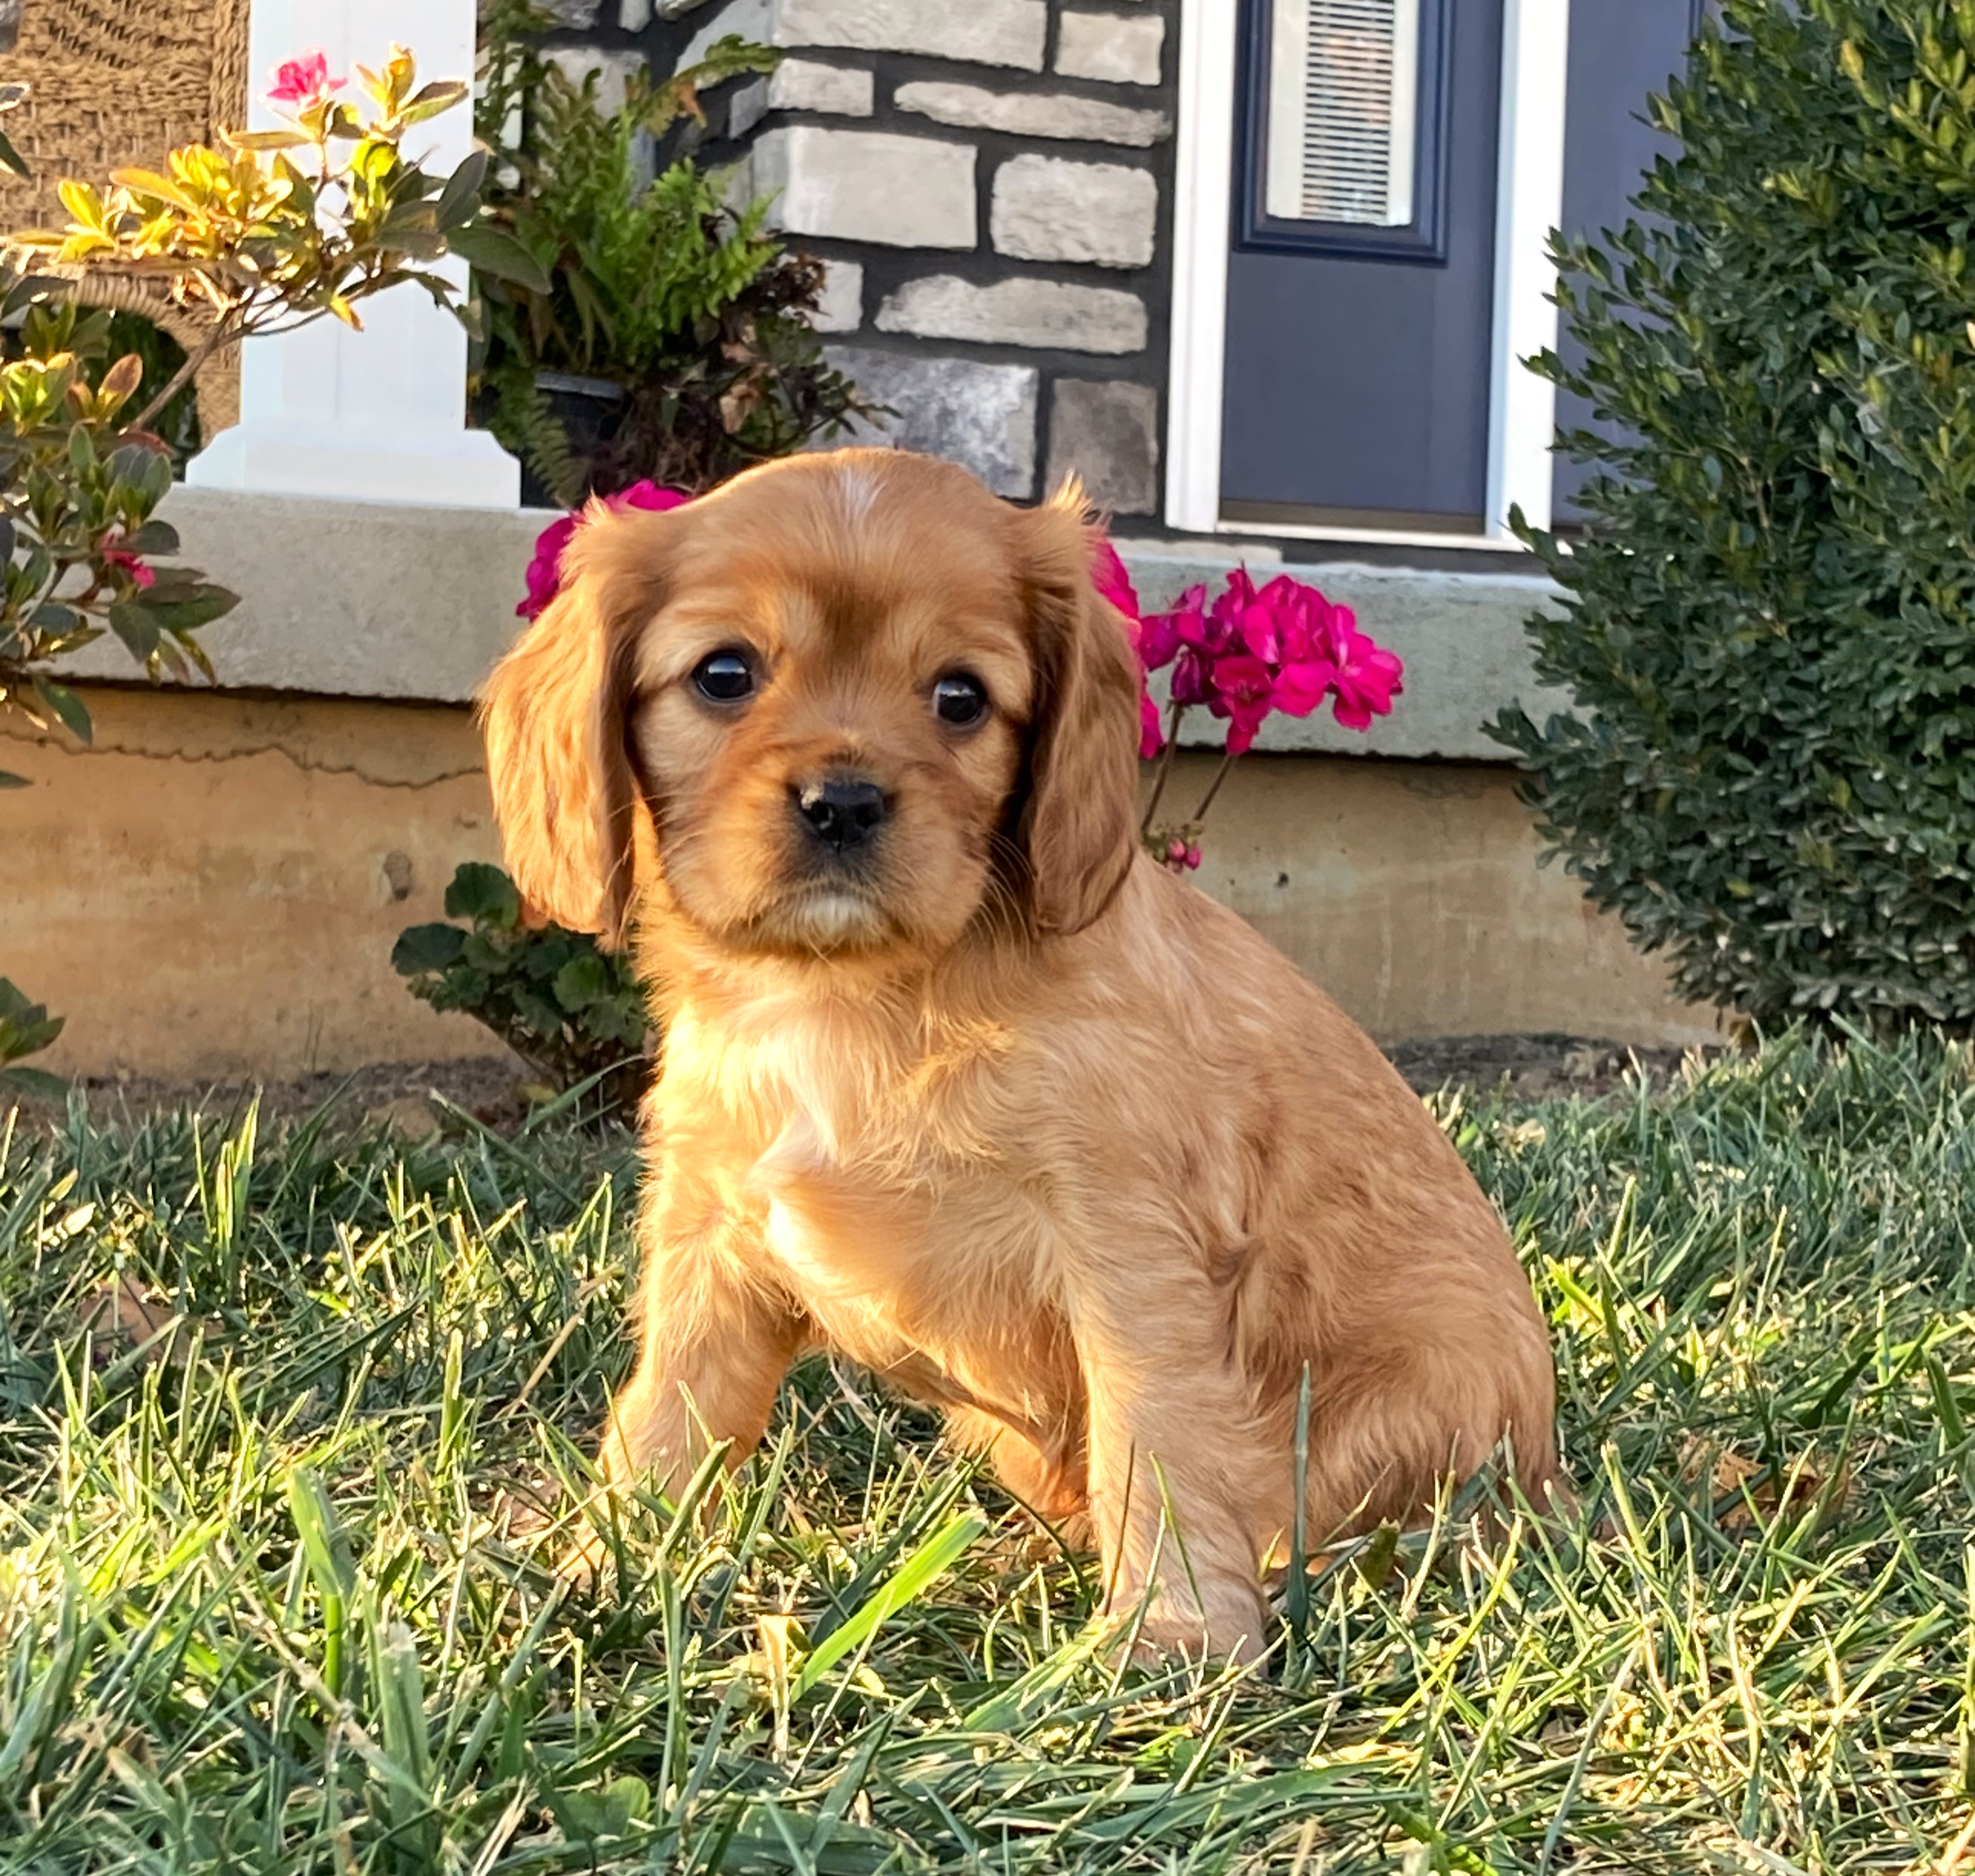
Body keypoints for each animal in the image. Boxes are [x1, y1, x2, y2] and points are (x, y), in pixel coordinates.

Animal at [477, 452, 1556, 1658]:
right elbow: (669, 1413)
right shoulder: (712, 1232)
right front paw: (599, 1571)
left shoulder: (1130, 1252)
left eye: (959, 697)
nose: (843, 801)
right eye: (723, 674)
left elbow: (1156, 1438)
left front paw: (1172, 1638)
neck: (848, 995)